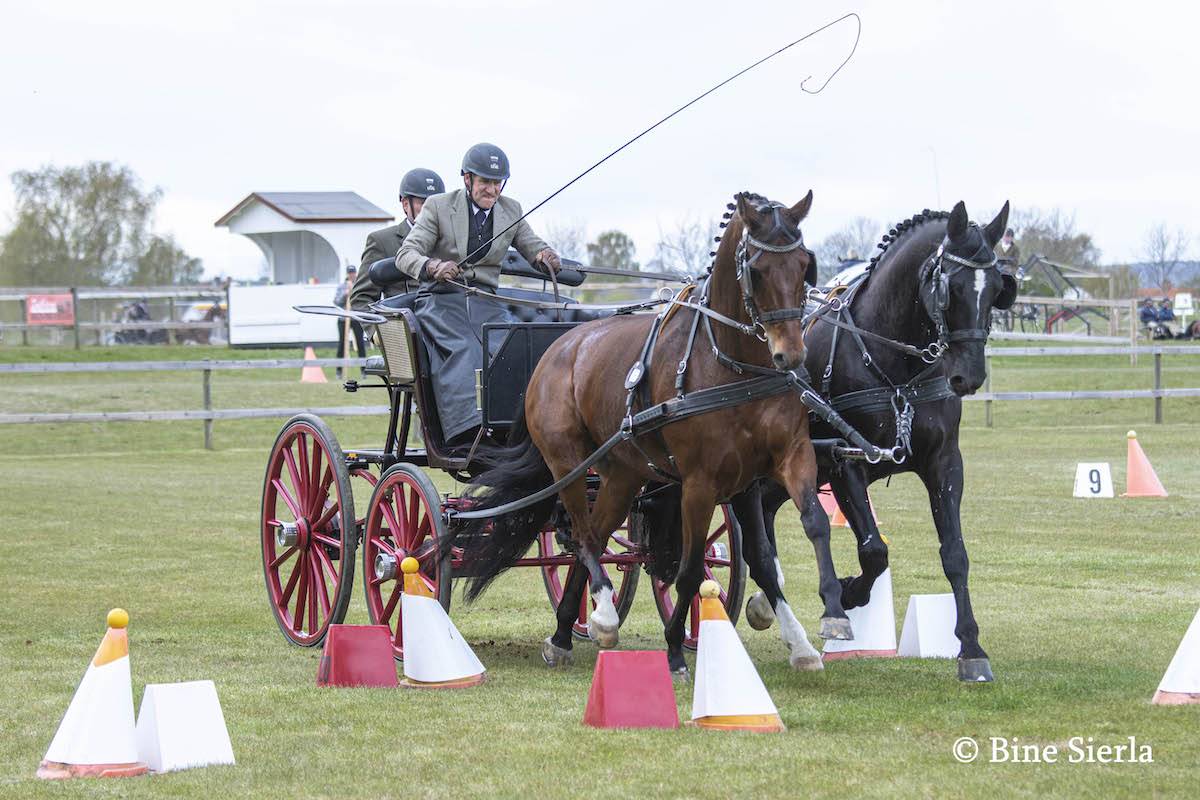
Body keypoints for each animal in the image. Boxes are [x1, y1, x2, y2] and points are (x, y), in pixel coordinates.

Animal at [446, 191, 846, 676]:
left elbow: (794, 538)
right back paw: (602, 614)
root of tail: (557, 347)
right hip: (567, 463)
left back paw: (564, 634)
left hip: (623, 474)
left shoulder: (770, 468)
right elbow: (690, 568)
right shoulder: (699, 483)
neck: (734, 367)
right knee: (581, 535)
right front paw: (674, 648)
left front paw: (817, 629)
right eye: (758, 269)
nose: (792, 354)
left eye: (806, 265)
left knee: (595, 537)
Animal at [731, 200, 1016, 682]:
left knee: (764, 524)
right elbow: (875, 552)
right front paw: (845, 597)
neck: (895, 367)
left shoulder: (944, 462)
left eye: (997, 288)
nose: (969, 376)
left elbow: (955, 553)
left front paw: (971, 649)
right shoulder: (845, 462)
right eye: (950, 288)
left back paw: (765, 602)